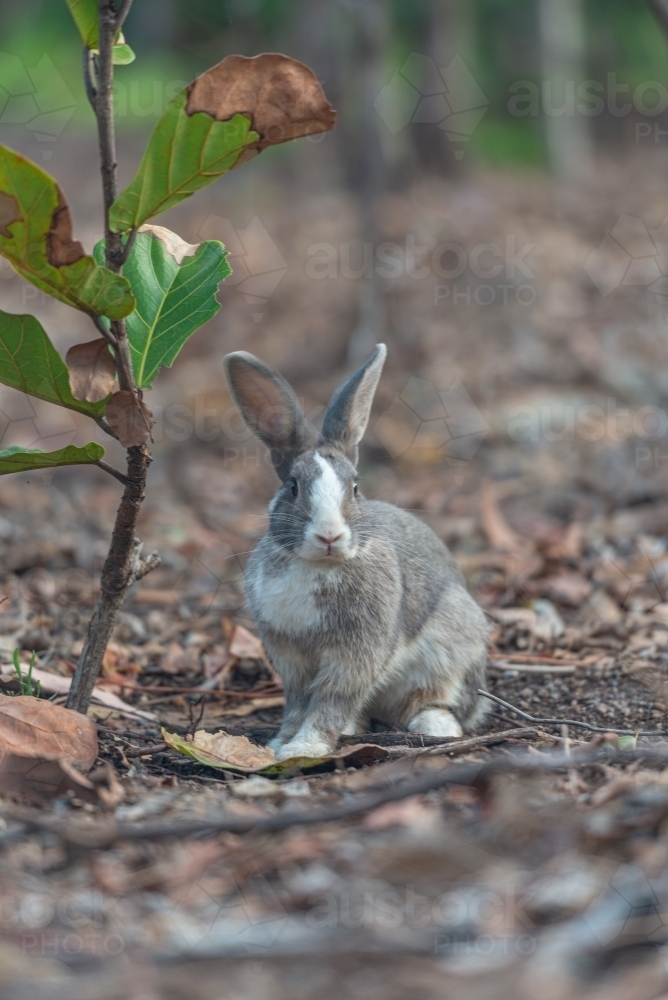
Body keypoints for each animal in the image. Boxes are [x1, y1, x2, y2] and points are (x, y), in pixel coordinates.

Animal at [223, 344, 490, 760]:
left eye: (355, 487)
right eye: (294, 486)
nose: (329, 535)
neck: (321, 564)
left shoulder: (354, 655)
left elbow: (332, 699)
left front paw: (305, 748)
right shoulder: (290, 659)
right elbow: (298, 703)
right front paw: (281, 742)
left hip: (450, 650)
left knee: (439, 703)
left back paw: (434, 726)